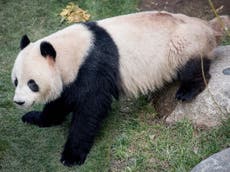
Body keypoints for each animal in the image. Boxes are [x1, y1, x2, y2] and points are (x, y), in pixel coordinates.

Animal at [11, 11, 220, 167]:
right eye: (16, 81)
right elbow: (60, 101)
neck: (70, 51)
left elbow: (90, 108)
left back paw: (187, 91)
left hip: (183, 44)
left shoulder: (92, 67)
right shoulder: (72, 76)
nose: (19, 102)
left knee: (193, 66)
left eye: (32, 83)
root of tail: (208, 26)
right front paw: (35, 118)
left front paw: (71, 156)